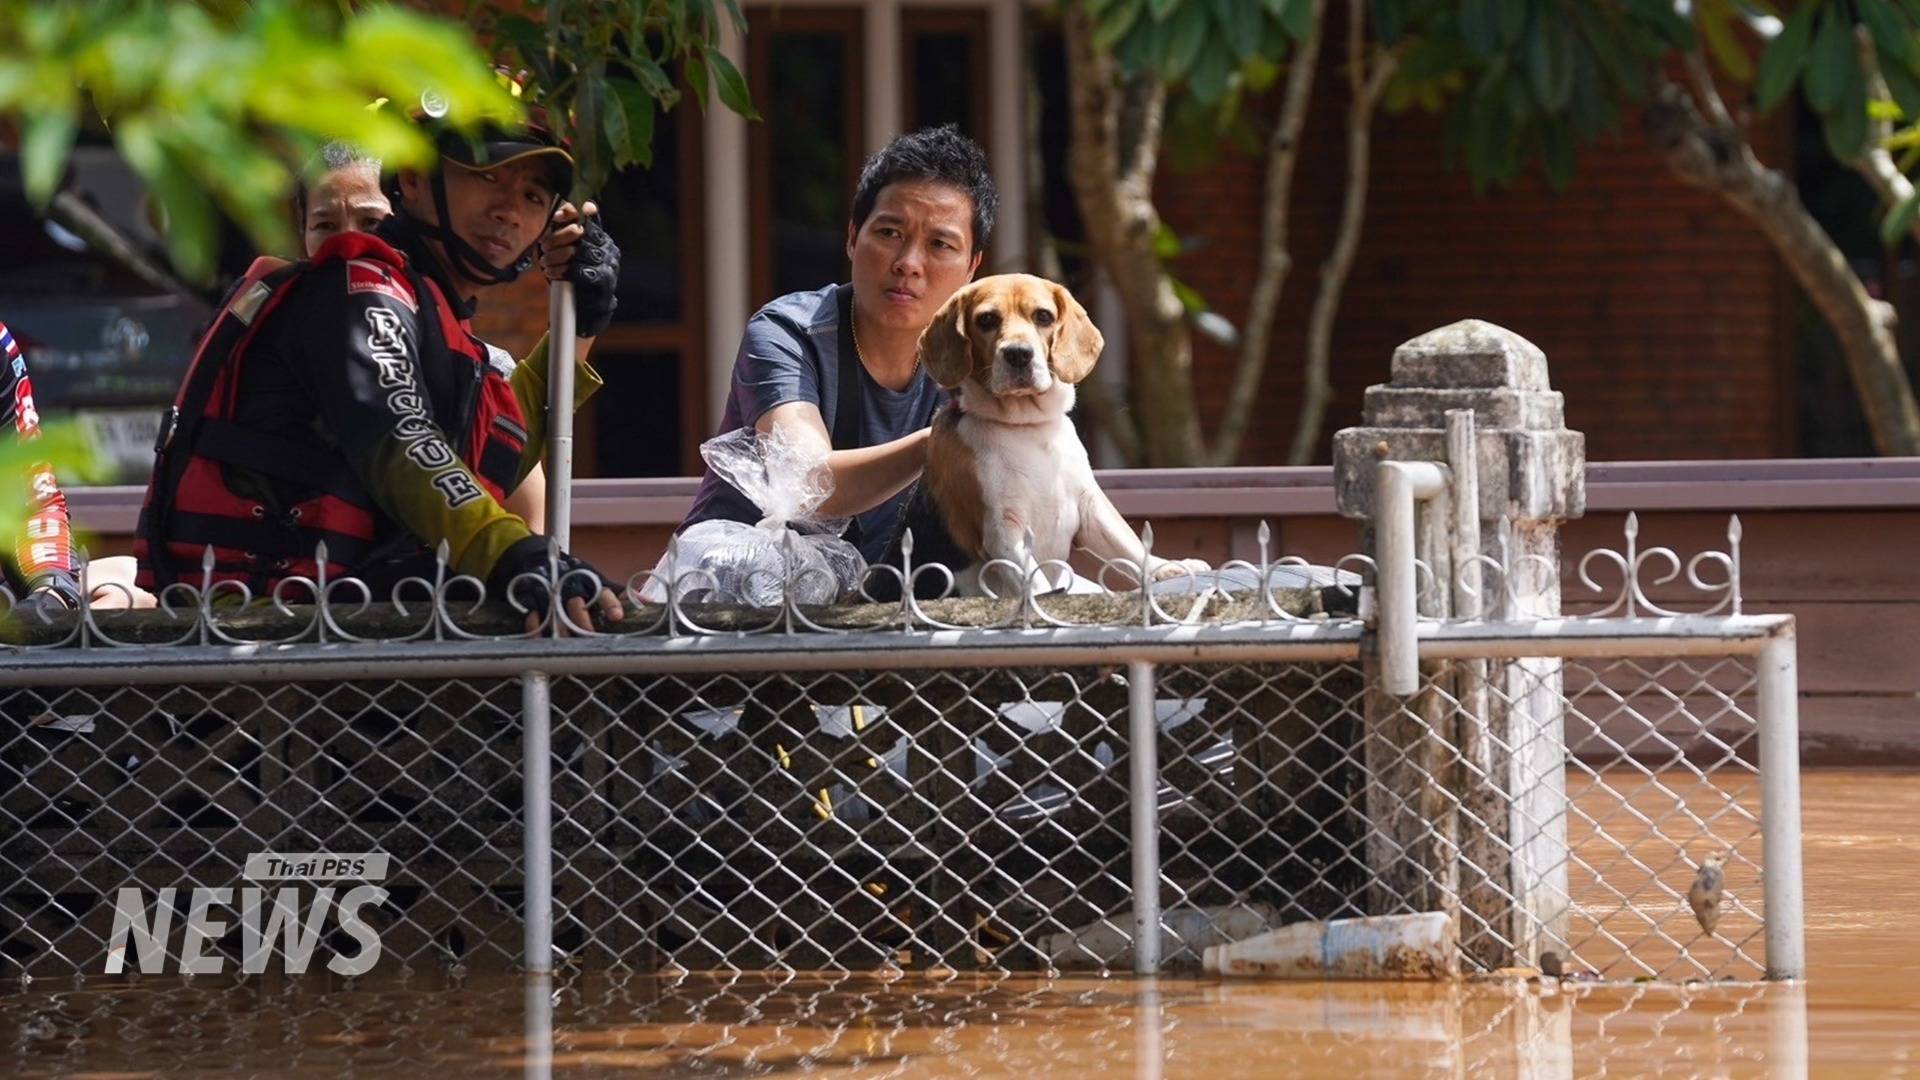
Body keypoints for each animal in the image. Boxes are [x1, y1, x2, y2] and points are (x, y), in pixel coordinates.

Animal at [879, 270, 1198, 595]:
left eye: (1043, 316)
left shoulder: (1089, 506)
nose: (1018, 354)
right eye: (986, 320)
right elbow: (1033, 580)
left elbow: (1126, 543)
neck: (1027, 428)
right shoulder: (1003, 529)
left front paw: (1162, 568)